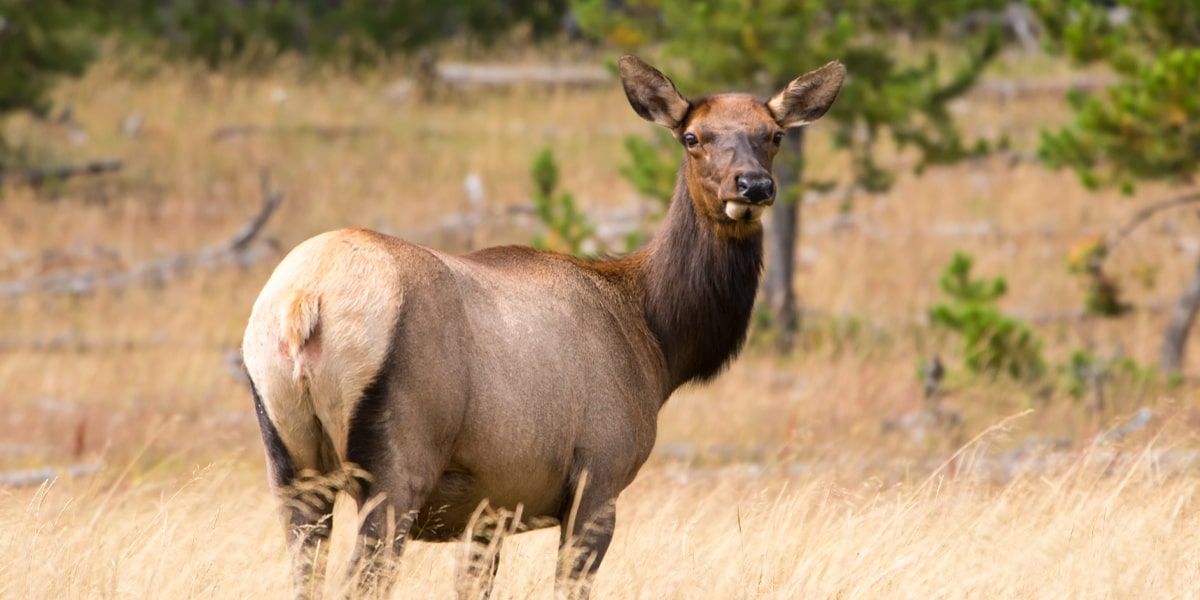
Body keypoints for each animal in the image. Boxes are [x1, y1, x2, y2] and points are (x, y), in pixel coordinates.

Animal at [242, 55, 845, 598]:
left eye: (773, 135)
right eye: (693, 137)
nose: (753, 185)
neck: (656, 340)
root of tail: (306, 300)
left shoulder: (490, 508)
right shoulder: (599, 479)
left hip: (288, 463)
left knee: (304, 574)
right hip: (396, 462)